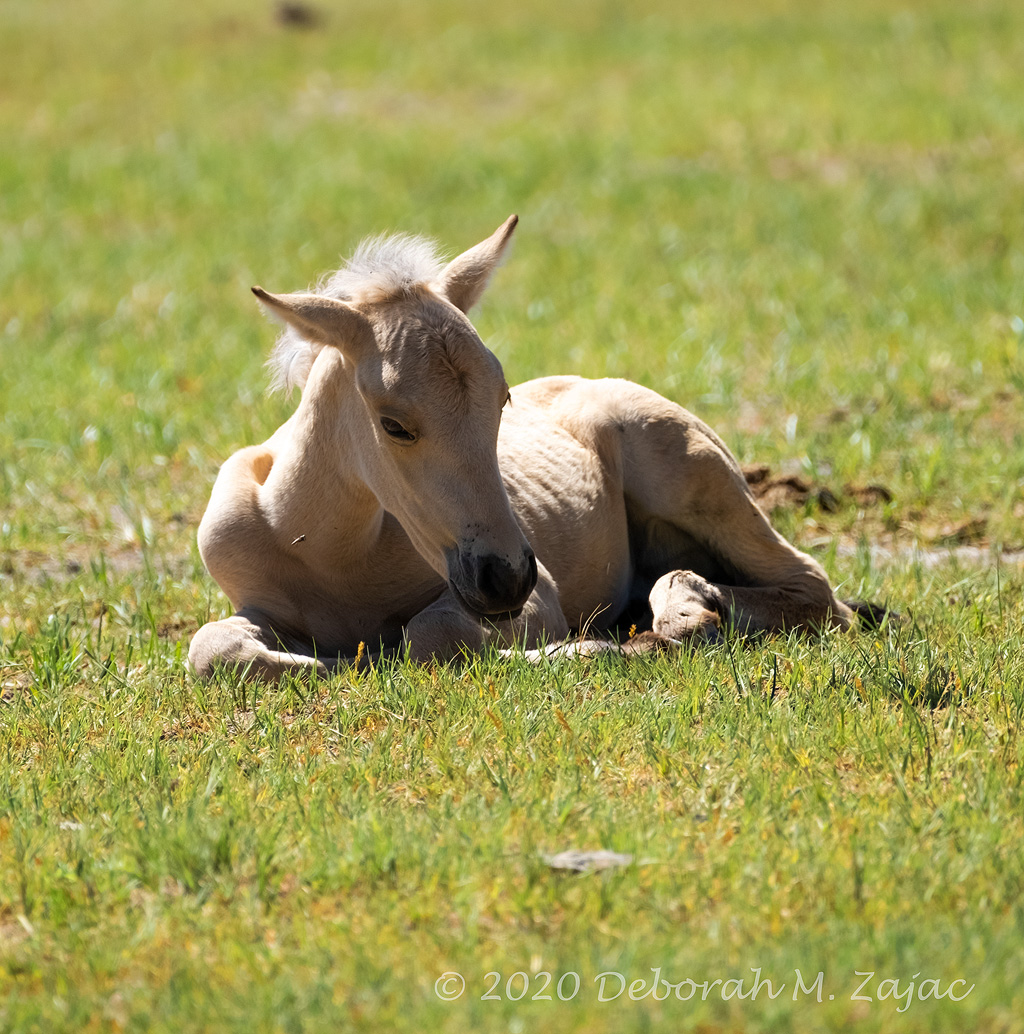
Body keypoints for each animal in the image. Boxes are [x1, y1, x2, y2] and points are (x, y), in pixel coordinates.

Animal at [188, 216, 857, 680]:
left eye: (502, 399)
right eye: (394, 424)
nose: (504, 578)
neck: (332, 554)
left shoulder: (537, 601)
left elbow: (430, 637)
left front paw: (580, 651)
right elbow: (210, 649)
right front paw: (324, 661)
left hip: (690, 474)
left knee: (817, 590)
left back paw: (682, 612)